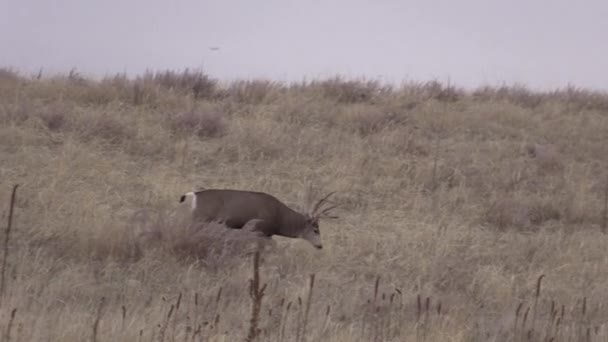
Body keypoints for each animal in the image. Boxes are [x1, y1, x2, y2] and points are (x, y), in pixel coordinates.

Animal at [177, 188, 338, 250]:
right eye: (316, 229)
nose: (320, 246)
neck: (280, 216)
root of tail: (195, 195)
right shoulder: (258, 230)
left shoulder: (266, 234)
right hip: (201, 219)